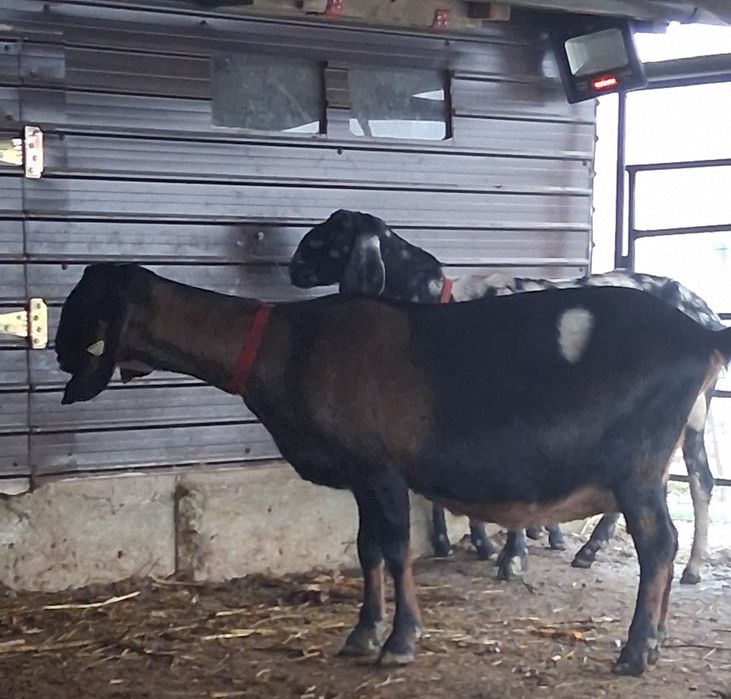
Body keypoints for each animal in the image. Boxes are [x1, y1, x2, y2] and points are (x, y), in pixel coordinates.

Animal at [56, 262, 730, 675]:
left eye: (85, 303)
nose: (57, 349)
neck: (287, 343)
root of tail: (701, 336)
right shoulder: (360, 475)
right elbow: (367, 550)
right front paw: (362, 632)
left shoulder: (384, 469)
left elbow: (399, 548)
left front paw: (400, 642)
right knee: (664, 540)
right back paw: (653, 641)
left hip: (638, 463)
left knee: (659, 544)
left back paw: (638, 650)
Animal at [289, 209, 720, 584]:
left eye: (330, 235)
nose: (293, 268)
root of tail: (706, 316)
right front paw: (464, 542)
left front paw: (509, 556)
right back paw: (616, 554)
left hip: (686, 414)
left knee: (699, 480)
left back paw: (688, 565)